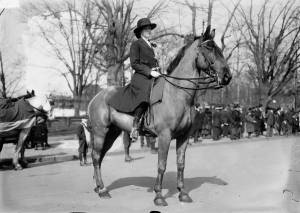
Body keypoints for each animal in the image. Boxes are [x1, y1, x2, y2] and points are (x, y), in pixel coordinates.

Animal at [85, 25, 231, 206]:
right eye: (210, 48)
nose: (227, 76)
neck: (177, 94)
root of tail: (96, 97)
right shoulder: (164, 136)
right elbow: (162, 165)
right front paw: (159, 196)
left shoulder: (184, 136)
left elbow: (181, 164)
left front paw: (183, 193)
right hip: (100, 132)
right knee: (96, 156)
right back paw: (103, 190)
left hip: (111, 133)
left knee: (99, 157)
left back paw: (99, 187)